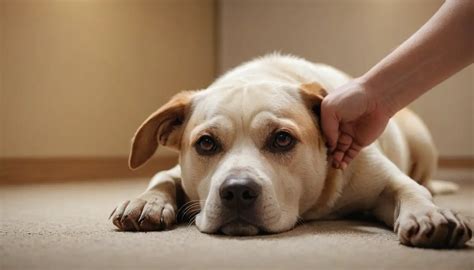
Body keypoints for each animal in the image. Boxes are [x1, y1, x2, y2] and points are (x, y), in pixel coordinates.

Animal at [110, 54, 470, 249]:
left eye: (282, 139)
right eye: (206, 143)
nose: (237, 191)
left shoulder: (383, 179)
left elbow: (410, 189)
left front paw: (429, 215)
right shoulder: (177, 173)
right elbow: (162, 177)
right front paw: (145, 202)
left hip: (422, 141)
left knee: (423, 179)